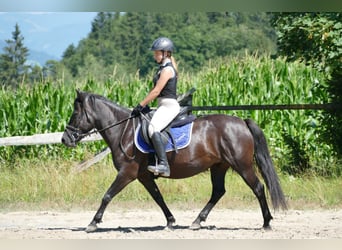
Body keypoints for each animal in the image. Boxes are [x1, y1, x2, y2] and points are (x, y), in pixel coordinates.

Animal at [61, 90, 286, 232]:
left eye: (75, 113)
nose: (65, 139)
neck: (124, 131)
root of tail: (242, 122)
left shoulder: (127, 173)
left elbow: (107, 196)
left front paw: (93, 223)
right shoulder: (144, 175)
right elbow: (158, 197)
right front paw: (170, 221)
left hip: (242, 166)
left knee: (258, 188)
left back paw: (266, 222)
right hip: (219, 166)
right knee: (218, 191)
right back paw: (197, 221)